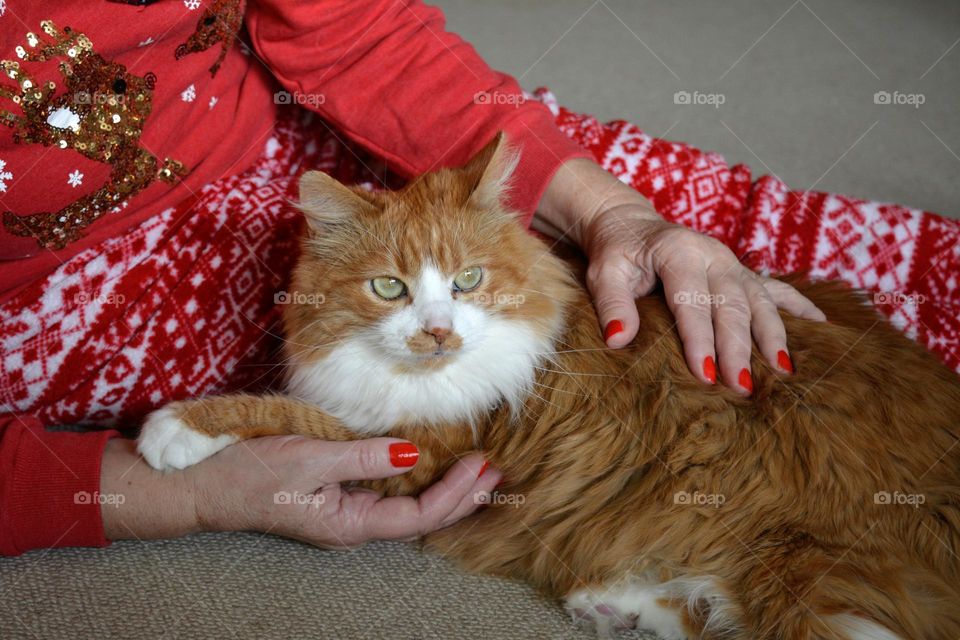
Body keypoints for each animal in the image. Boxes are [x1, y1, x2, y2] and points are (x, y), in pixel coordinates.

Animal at [137, 135, 960, 640]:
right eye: (390, 288)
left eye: (468, 281)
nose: (438, 332)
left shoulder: (421, 443)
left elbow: (291, 413)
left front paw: (173, 428)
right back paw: (612, 604)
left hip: (803, 568)